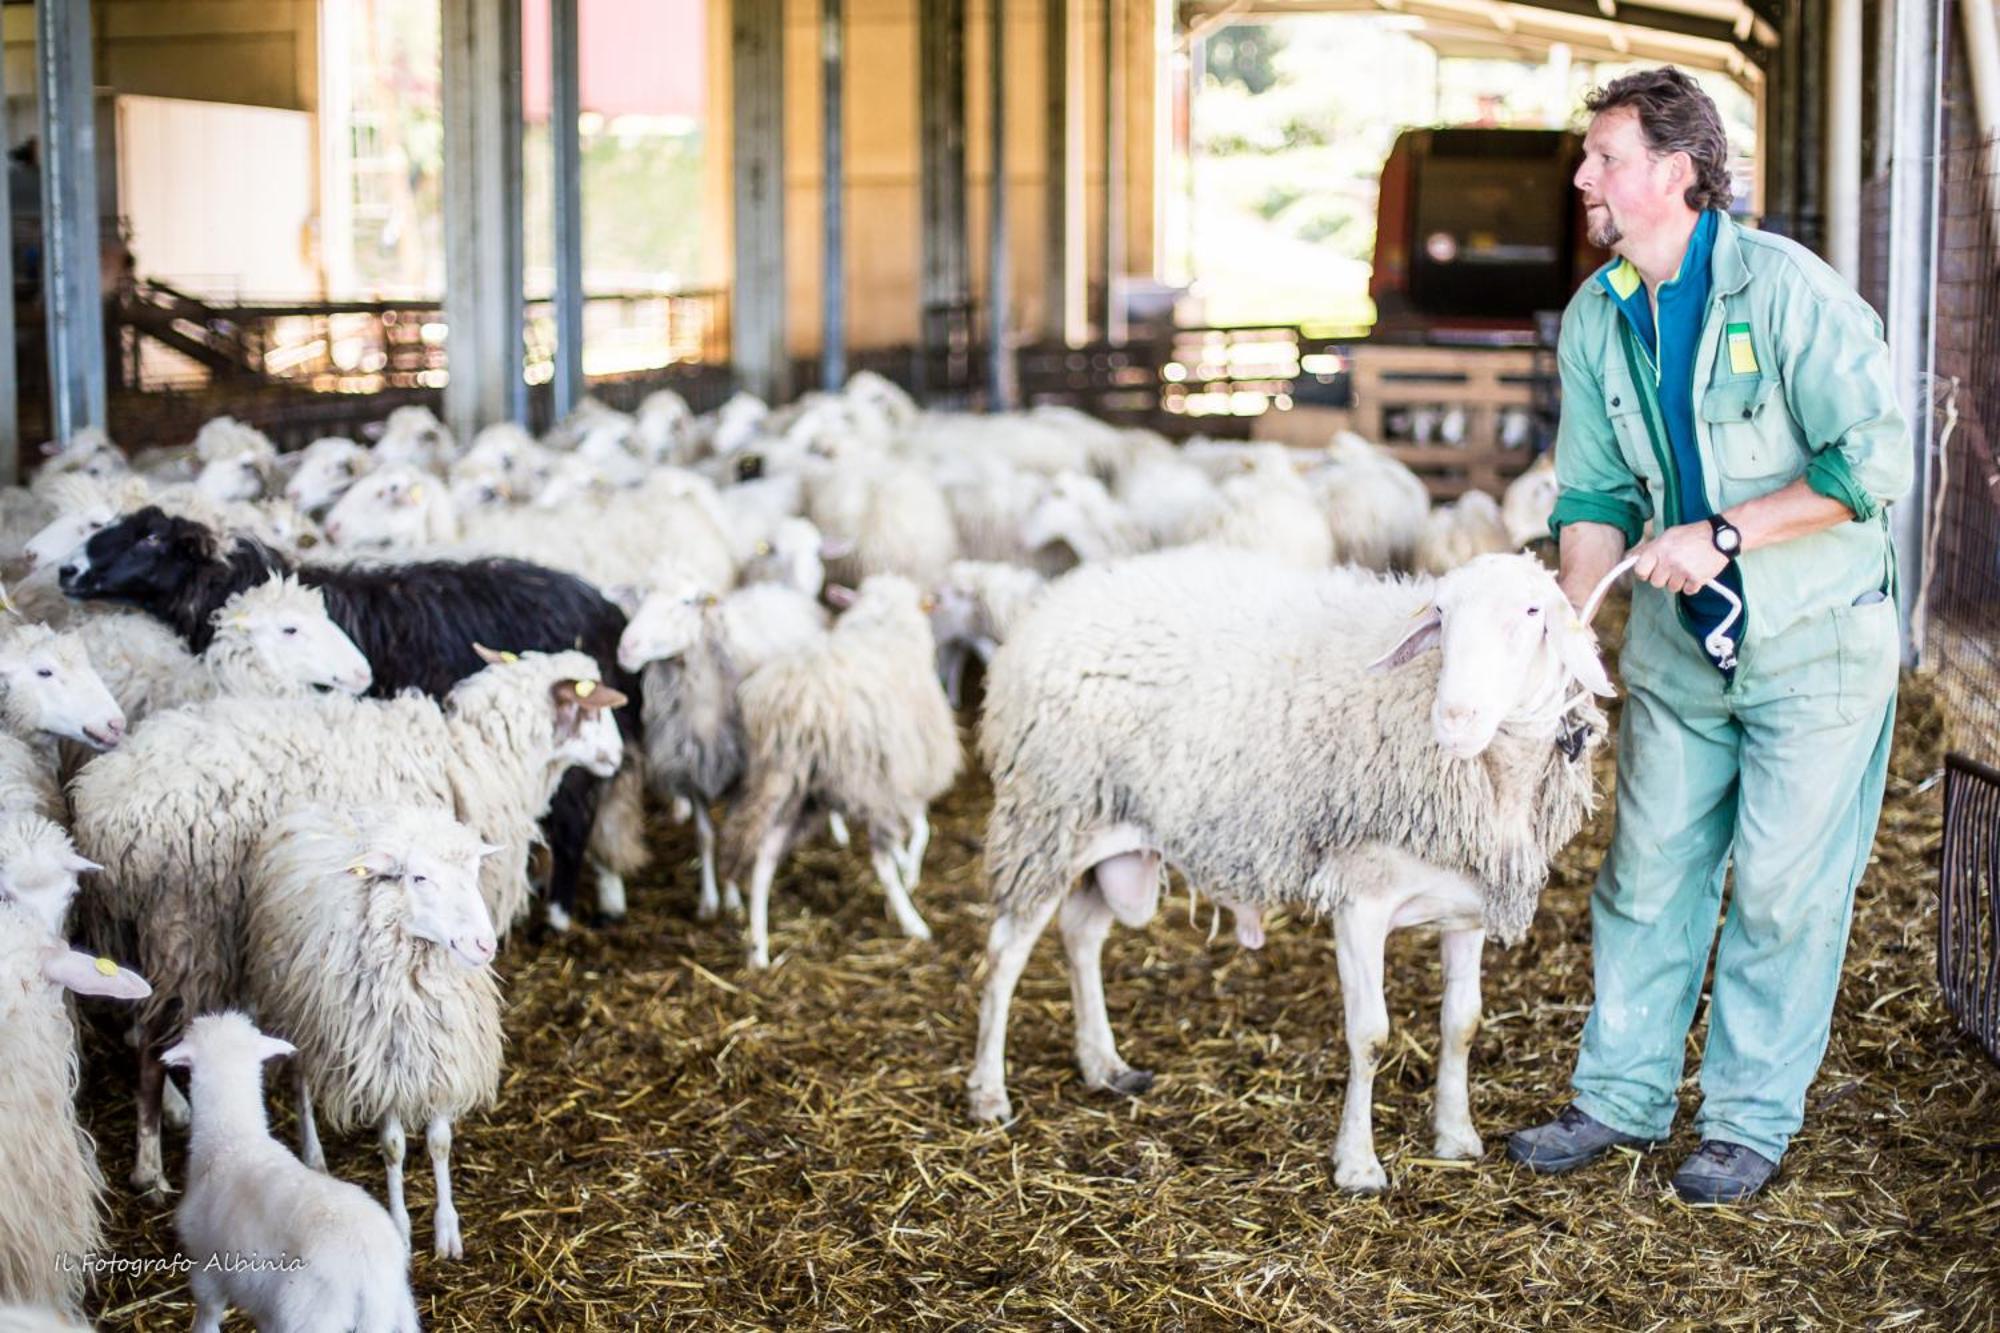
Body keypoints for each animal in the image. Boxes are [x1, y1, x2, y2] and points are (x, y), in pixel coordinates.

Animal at [74, 648, 624, 1184]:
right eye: (595, 710)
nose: (618, 759)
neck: (485, 756)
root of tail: (108, 811)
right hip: (189, 921)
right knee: (151, 1042)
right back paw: (149, 1169)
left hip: (143, 927)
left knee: (144, 1022)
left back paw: (172, 1109)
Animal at [161, 1008, 422, 1328]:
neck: (232, 1139)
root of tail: (370, 1271)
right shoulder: (264, 1307)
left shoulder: (205, 1266)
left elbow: (207, 1318)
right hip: (400, 1312)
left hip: (312, 1315)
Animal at [245, 800, 504, 1256]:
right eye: (419, 877)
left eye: (475, 872)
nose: (484, 945)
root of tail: (312, 805)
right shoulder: (382, 1066)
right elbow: (393, 1147)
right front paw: (400, 1228)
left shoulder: (441, 1057)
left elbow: (440, 1142)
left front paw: (447, 1231)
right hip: (299, 1012)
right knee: (300, 1080)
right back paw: (314, 1155)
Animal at [724, 572, 964, 964]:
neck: (882, 619)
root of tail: (797, 706)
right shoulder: (901, 775)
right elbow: (922, 830)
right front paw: (910, 868)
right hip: (852, 781)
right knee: (879, 862)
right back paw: (913, 922)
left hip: (788, 786)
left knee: (761, 858)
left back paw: (758, 950)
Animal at [964, 544, 1608, 1184]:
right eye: (1442, 614)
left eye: (1532, 611)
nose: (1454, 719)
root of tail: (1048, 607)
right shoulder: (1359, 899)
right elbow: (1370, 1036)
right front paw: (1357, 1165)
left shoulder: (1467, 908)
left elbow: (1463, 1024)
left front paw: (1455, 1136)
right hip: (1046, 816)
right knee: (1005, 954)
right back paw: (989, 1093)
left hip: (1108, 832)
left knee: (1081, 935)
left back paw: (1104, 1065)